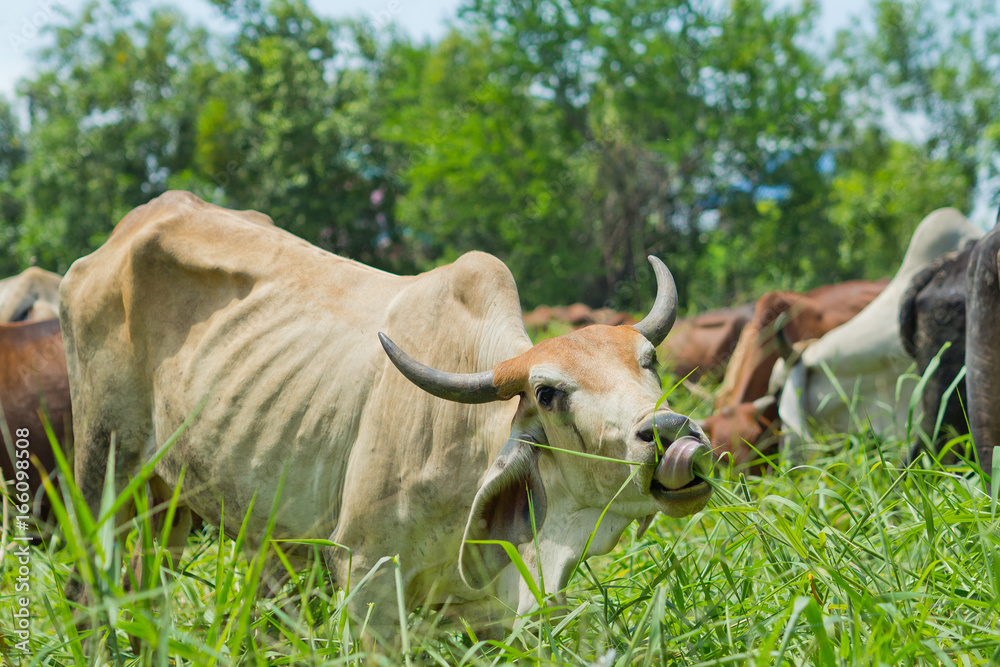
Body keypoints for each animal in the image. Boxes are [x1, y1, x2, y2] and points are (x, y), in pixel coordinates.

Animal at [60, 191, 713, 644]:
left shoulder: (488, 613)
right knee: (87, 586)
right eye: (548, 393)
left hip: (174, 501)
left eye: (649, 360)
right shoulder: (365, 580)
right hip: (103, 468)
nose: (670, 433)